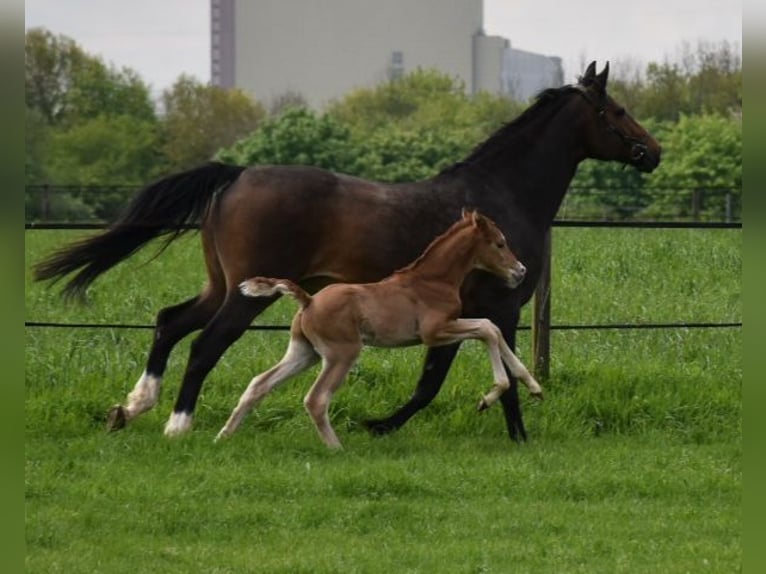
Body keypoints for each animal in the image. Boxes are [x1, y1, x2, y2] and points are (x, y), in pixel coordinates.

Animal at [213, 212, 544, 450]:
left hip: (303, 352)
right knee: (316, 399)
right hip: (341, 354)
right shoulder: (436, 332)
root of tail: (308, 300)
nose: (520, 271)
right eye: (500, 243)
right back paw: (337, 448)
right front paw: (488, 397)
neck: (433, 280)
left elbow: (492, 329)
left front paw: (534, 386)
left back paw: (223, 436)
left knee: (259, 383)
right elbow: (488, 329)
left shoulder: (448, 327)